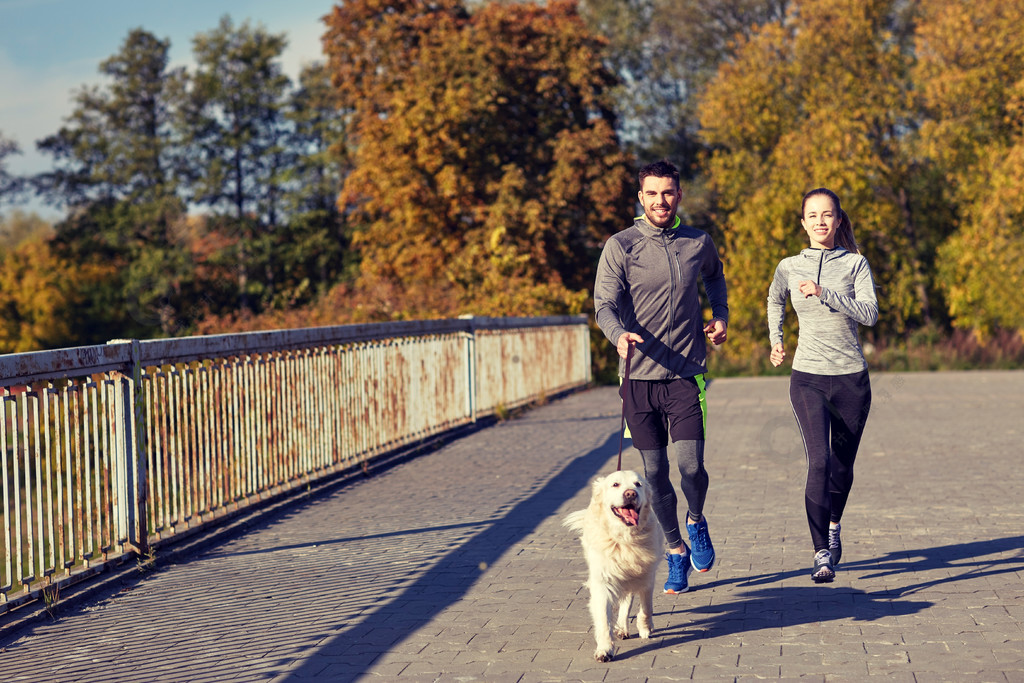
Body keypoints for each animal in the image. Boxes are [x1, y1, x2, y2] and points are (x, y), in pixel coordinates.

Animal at [569, 471, 663, 663]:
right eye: (615, 484)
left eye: (638, 484)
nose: (630, 494)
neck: (624, 538)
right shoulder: (603, 581)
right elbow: (604, 620)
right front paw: (605, 650)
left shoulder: (646, 576)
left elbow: (646, 608)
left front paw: (645, 627)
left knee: (628, 601)